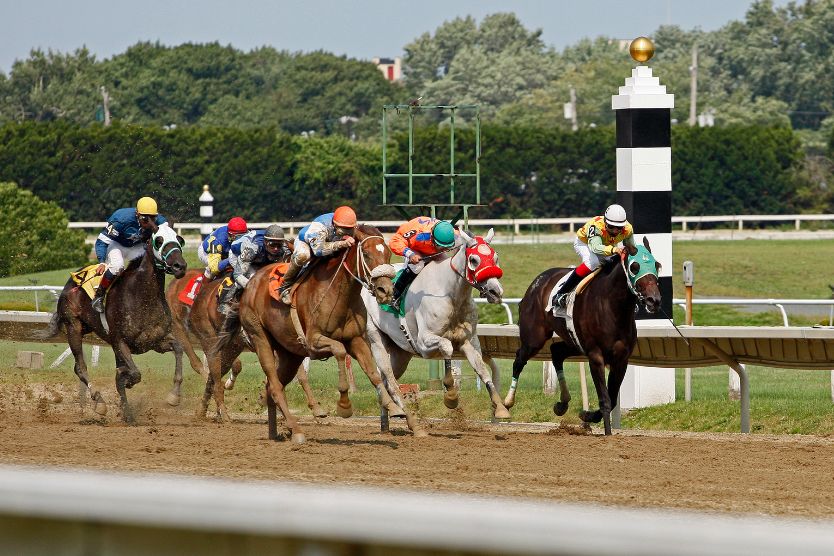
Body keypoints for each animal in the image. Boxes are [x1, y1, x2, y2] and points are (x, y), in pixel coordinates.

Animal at [42, 222, 187, 422]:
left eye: (180, 239)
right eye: (158, 240)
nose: (180, 266)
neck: (142, 296)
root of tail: (71, 281)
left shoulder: (156, 341)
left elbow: (179, 349)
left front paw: (173, 396)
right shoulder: (120, 341)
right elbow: (133, 373)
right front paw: (126, 381)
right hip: (74, 328)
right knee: (80, 367)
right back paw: (100, 402)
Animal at [213, 224, 398, 446]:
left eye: (387, 254)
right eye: (368, 254)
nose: (385, 290)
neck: (338, 294)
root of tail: (249, 285)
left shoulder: (356, 340)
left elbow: (373, 372)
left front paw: (392, 405)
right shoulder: (313, 341)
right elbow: (339, 350)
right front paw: (344, 405)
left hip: (289, 354)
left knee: (271, 387)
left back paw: (275, 432)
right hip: (260, 339)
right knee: (275, 386)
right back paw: (296, 430)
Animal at [360, 228, 510, 432]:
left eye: (495, 257)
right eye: (474, 260)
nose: (496, 291)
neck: (451, 294)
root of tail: (369, 285)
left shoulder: (468, 341)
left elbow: (482, 369)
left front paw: (500, 407)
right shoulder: (424, 343)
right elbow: (447, 347)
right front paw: (451, 395)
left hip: (401, 353)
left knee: (385, 381)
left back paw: (387, 421)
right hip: (377, 341)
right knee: (390, 382)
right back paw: (407, 419)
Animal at [504, 237, 660, 436]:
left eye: (657, 265)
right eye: (634, 266)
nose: (654, 300)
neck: (612, 307)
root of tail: (537, 282)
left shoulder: (621, 359)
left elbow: (612, 398)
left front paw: (588, 415)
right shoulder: (595, 355)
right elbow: (605, 399)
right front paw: (607, 432)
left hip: (574, 342)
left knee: (556, 351)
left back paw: (562, 403)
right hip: (534, 338)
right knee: (519, 360)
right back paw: (506, 403)